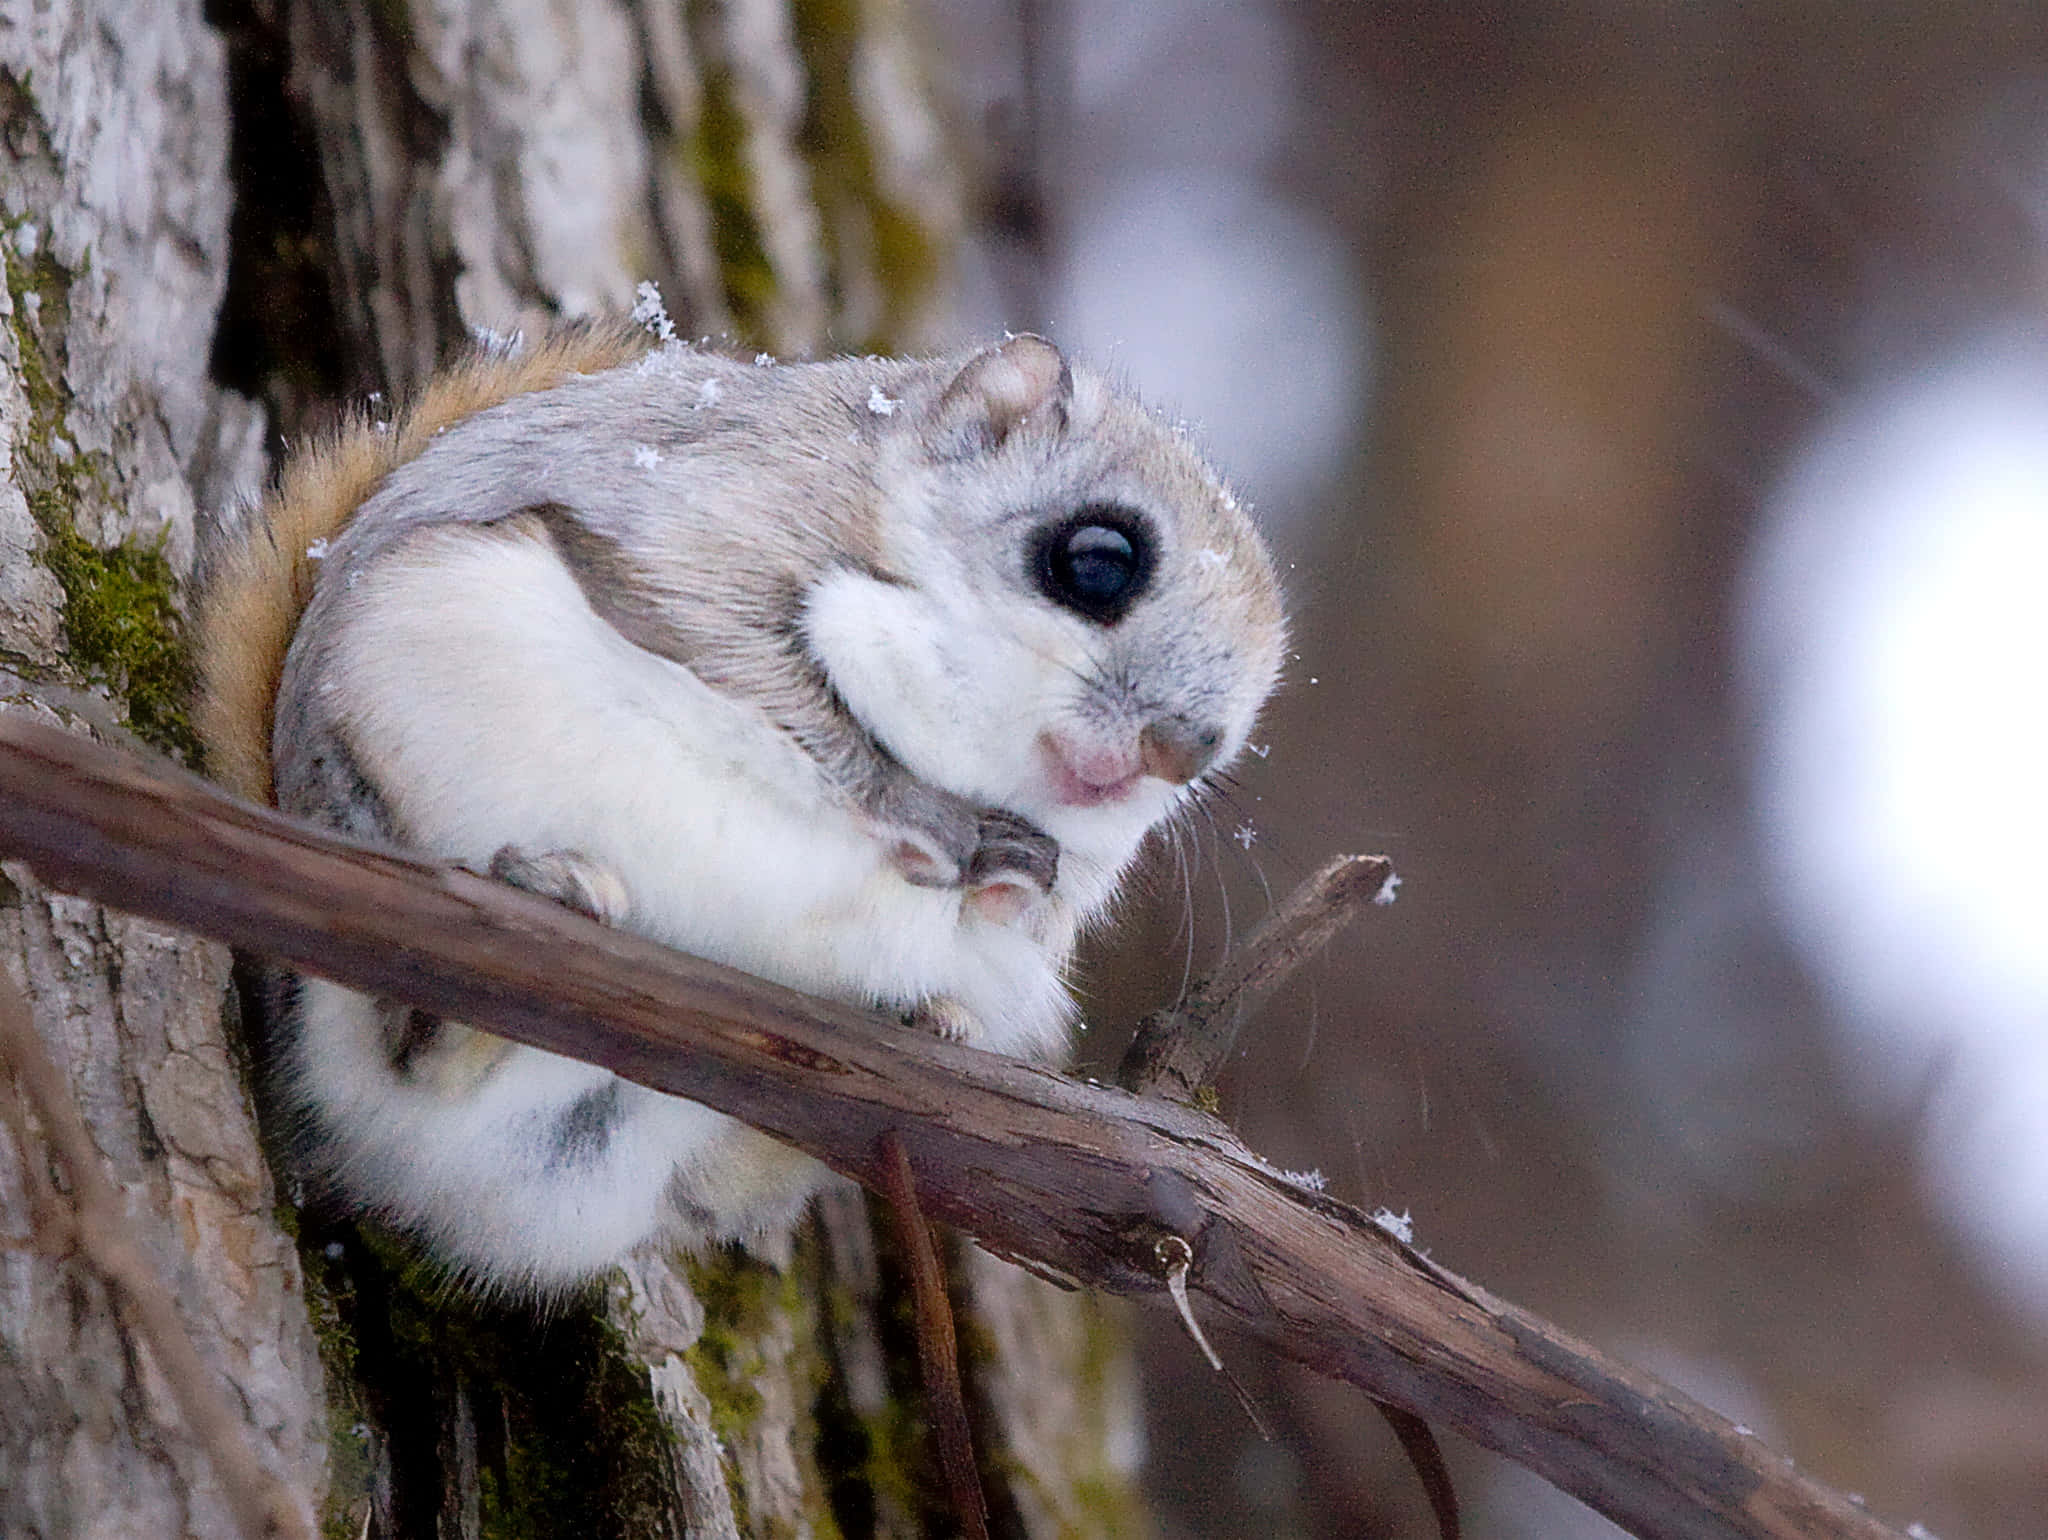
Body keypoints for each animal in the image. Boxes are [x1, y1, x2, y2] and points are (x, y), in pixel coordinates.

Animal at [195, 317, 1286, 1294]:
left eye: (1232, 739)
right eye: (1098, 558)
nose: (1183, 750)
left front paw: (1013, 886)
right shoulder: (711, 528)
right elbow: (762, 675)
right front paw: (926, 816)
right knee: (404, 1048)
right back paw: (531, 903)